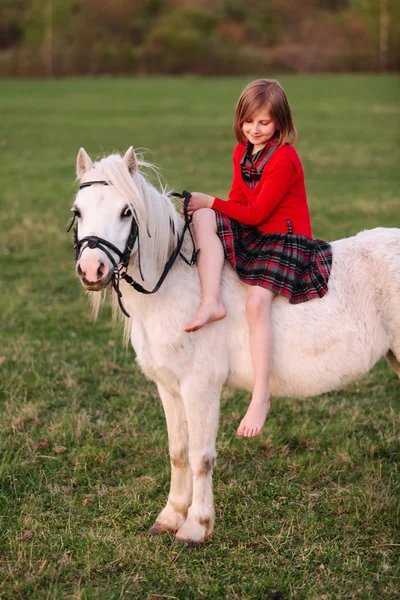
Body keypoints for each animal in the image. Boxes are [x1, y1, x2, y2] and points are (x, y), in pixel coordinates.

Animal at [72, 148, 400, 548]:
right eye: (78, 211)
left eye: (125, 211)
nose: (92, 269)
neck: (177, 286)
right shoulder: (168, 387)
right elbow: (178, 451)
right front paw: (170, 516)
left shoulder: (200, 387)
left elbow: (201, 456)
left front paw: (196, 526)